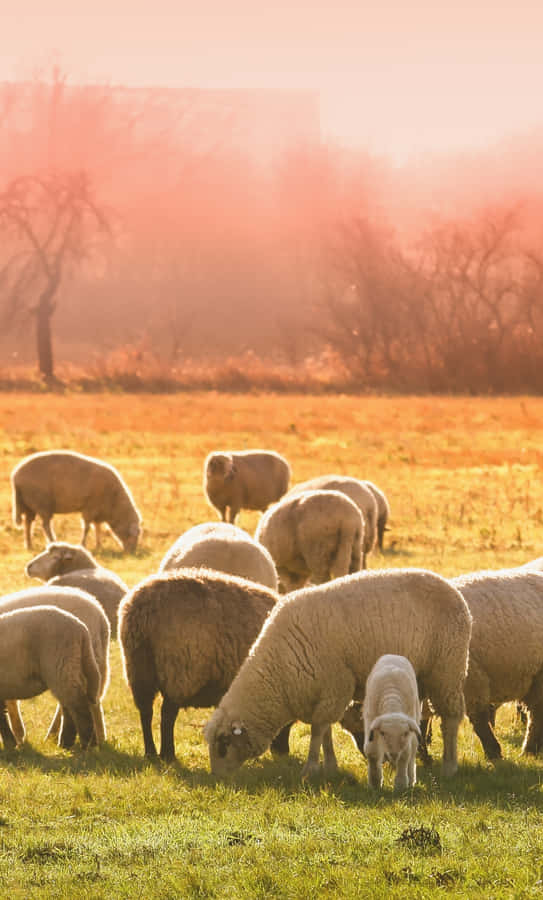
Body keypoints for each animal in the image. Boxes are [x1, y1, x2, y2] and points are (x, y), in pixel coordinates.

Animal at [0, 585, 110, 748]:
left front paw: (15, 740)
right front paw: (14, 740)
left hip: (63, 666)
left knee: (79, 705)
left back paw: (84, 743)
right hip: (84, 664)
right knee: (83, 703)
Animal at [11, 449, 141, 552]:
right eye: (133, 536)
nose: (131, 552)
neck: (115, 502)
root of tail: (16, 476)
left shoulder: (98, 512)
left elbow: (97, 528)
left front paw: (99, 546)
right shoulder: (90, 508)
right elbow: (87, 527)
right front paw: (83, 545)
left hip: (29, 504)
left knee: (28, 523)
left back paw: (29, 545)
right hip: (41, 503)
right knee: (45, 525)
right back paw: (53, 542)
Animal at [118, 568, 292, 761]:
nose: (283, 752)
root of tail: (143, 607)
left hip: (139, 668)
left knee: (146, 712)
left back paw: (150, 753)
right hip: (179, 670)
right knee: (167, 714)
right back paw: (168, 754)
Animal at [363, 654, 421, 790]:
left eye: (404, 733)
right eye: (383, 733)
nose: (394, 755)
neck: (392, 698)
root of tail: (394, 655)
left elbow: (405, 754)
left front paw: (401, 784)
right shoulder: (370, 720)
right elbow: (372, 752)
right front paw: (375, 783)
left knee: (413, 750)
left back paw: (411, 779)